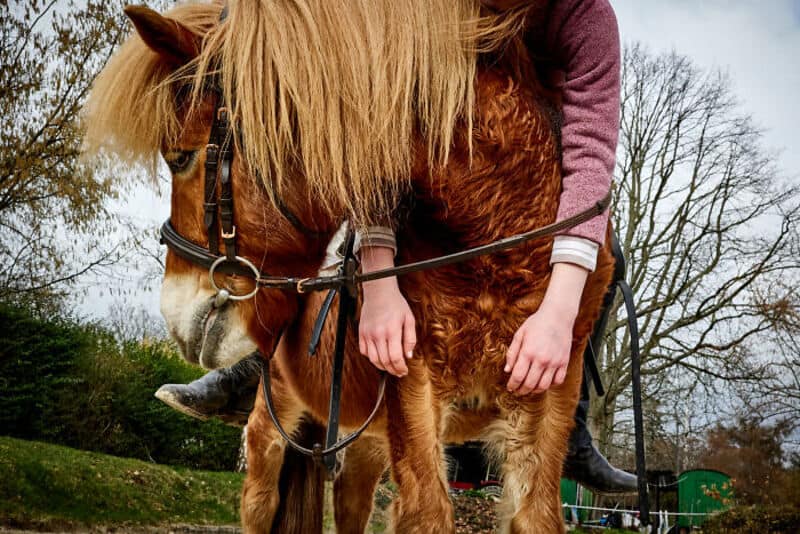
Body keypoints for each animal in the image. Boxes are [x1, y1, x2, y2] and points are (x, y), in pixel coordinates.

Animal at [84, 1, 616, 532]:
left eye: (182, 158)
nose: (175, 315)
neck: (498, 243)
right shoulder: (414, 386)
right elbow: (429, 511)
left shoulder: (548, 398)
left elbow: (535, 515)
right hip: (271, 431)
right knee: (259, 501)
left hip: (363, 448)